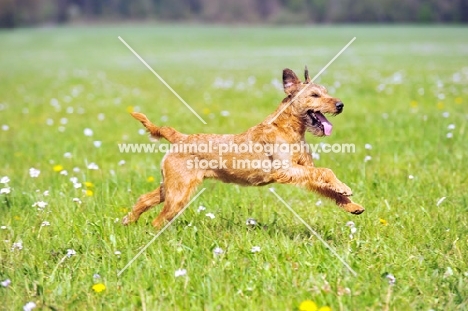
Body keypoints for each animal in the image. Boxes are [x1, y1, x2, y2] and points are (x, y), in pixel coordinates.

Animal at [123, 67, 366, 229]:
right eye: (315, 95)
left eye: (326, 91)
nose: (340, 105)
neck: (289, 128)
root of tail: (180, 138)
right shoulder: (286, 169)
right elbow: (326, 172)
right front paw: (345, 187)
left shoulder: (303, 169)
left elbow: (325, 185)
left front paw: (352, 205)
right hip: (179, 192)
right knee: (158, 219)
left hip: (172, 186)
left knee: (145, 199)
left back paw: (128, 220)